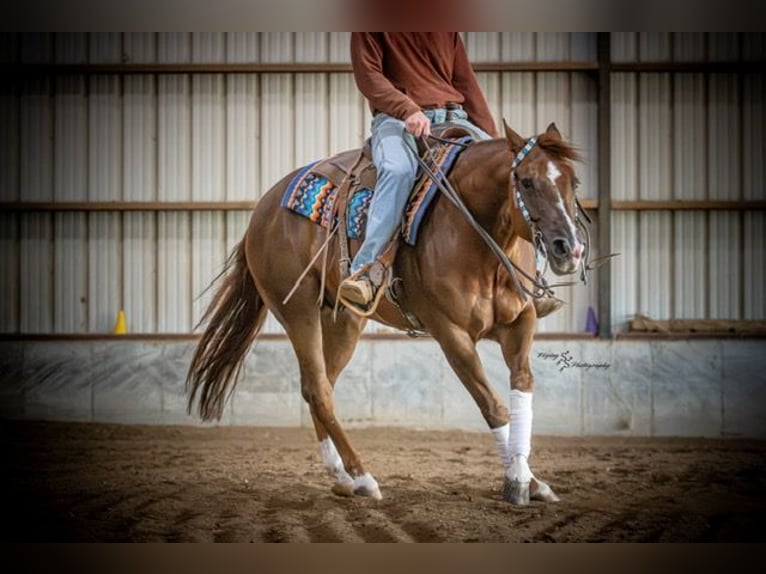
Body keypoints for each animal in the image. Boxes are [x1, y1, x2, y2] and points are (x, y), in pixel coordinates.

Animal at [186, 120, 586, 506]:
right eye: (527, 181)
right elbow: (493, 406)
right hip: (298, 311)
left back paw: (342, 477)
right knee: (318, 389)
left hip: (344, 319)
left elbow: (523, 388)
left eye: (573, 181)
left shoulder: (520, 322)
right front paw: (518, 482)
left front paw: (531, 481)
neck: (479, 239)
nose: (569, 249)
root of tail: (263, 210)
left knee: (318, 386)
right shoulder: (452, 334)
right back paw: (363, 478)